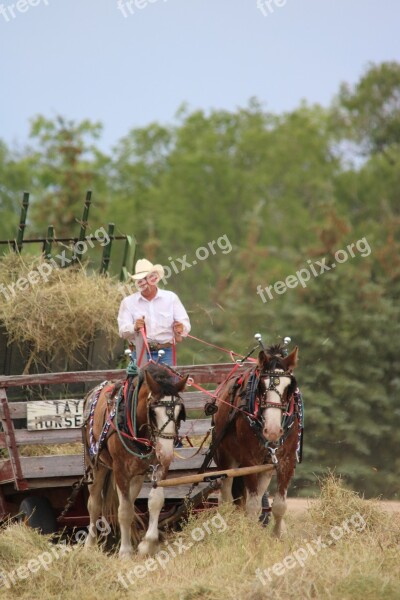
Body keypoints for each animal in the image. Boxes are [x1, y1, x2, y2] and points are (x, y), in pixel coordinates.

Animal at [82, 360, 188, 556]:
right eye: (153, 412)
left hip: (136, 475)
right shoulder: (120, 470)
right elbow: (124, 511)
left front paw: (148, 544)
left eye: (179, 412)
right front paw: (125, 552)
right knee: (94, 504)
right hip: (96, 465)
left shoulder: (158, 467)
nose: (167, 454)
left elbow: (155, 502)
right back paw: (90, 545)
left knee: (130, 501)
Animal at [214, 344, 298, 536]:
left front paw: (278, 534)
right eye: (261, 385)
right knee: (226, 498)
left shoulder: (286, 460)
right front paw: (249, 535)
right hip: (225, 459)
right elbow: (251, 506)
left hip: (266, 465)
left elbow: (279, 505)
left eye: (289, 387)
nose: (272, 431)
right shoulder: (249, 461)